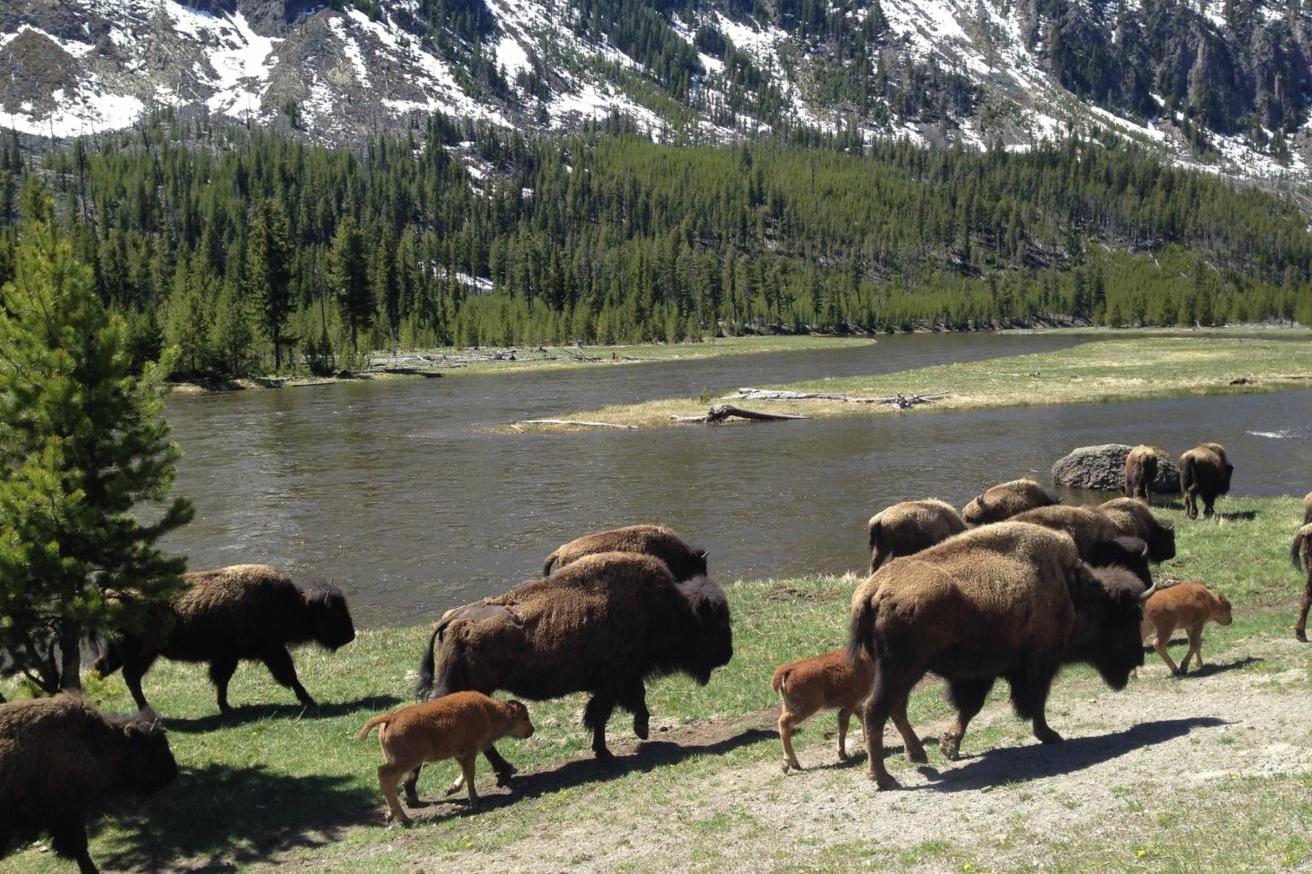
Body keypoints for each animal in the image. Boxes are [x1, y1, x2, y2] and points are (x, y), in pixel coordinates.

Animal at [95, 564, 356, 713]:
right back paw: (146, 709)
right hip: (143, 653)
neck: (294, 604)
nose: (351, 635)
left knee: (104, 668)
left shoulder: (228, 657)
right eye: (334, 614)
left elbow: (222, 680)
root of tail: (112, 595)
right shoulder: (270, 650)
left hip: (125, 652)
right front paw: (309, 700)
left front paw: (225, 706)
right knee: (130, 676)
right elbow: (289, 675)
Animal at [415, 552, 732, 785]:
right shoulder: (618, 679)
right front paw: (626, 739)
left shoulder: (615, 682)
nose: (728, 654)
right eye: (713, 624)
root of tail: (455, 618)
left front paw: (609, 747)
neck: (668, 608)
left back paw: (504, 771)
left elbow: (606, 712)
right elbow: (613, 709)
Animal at [848, 522, 1151, 789]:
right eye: (1129, 616)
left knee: (895, 708)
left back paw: (917, 755)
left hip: (901, 671)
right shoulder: (1038, 664)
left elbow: (971, 708)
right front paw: (1049, 735)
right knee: (875, 711)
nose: (1139, 659)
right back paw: (884, 778)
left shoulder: (980, 674)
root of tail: (873, 590)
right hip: (901, 670)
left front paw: (949, 746)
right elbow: (1034, 702)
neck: (1073, 591)